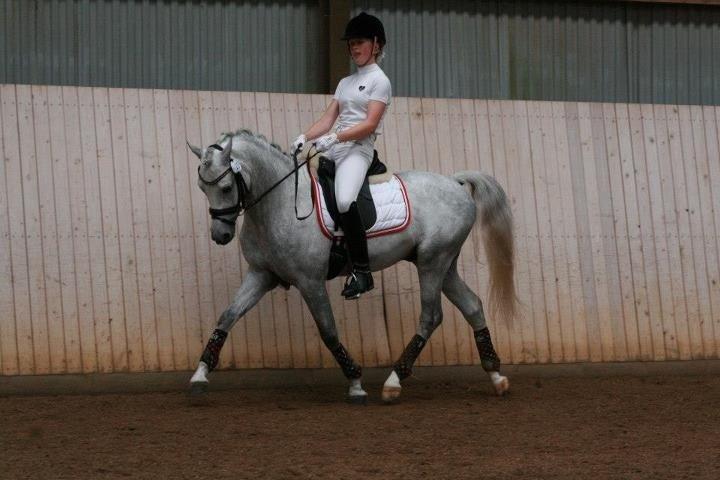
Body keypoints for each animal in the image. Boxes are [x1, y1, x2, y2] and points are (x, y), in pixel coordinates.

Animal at [186, 129, 517, 404]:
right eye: (202, 187)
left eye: (225, 187)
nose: (220, 236)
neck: (279, 204)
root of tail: (455, 182)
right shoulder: (261, 275)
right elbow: (227, 316)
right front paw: (200, 374)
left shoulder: (310, 281)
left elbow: (328, 331)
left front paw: (356, 383)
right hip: (443, 263)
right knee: (472, 305)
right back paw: (496, 376)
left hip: (432, 262)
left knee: (431, 316)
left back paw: (394, 382)